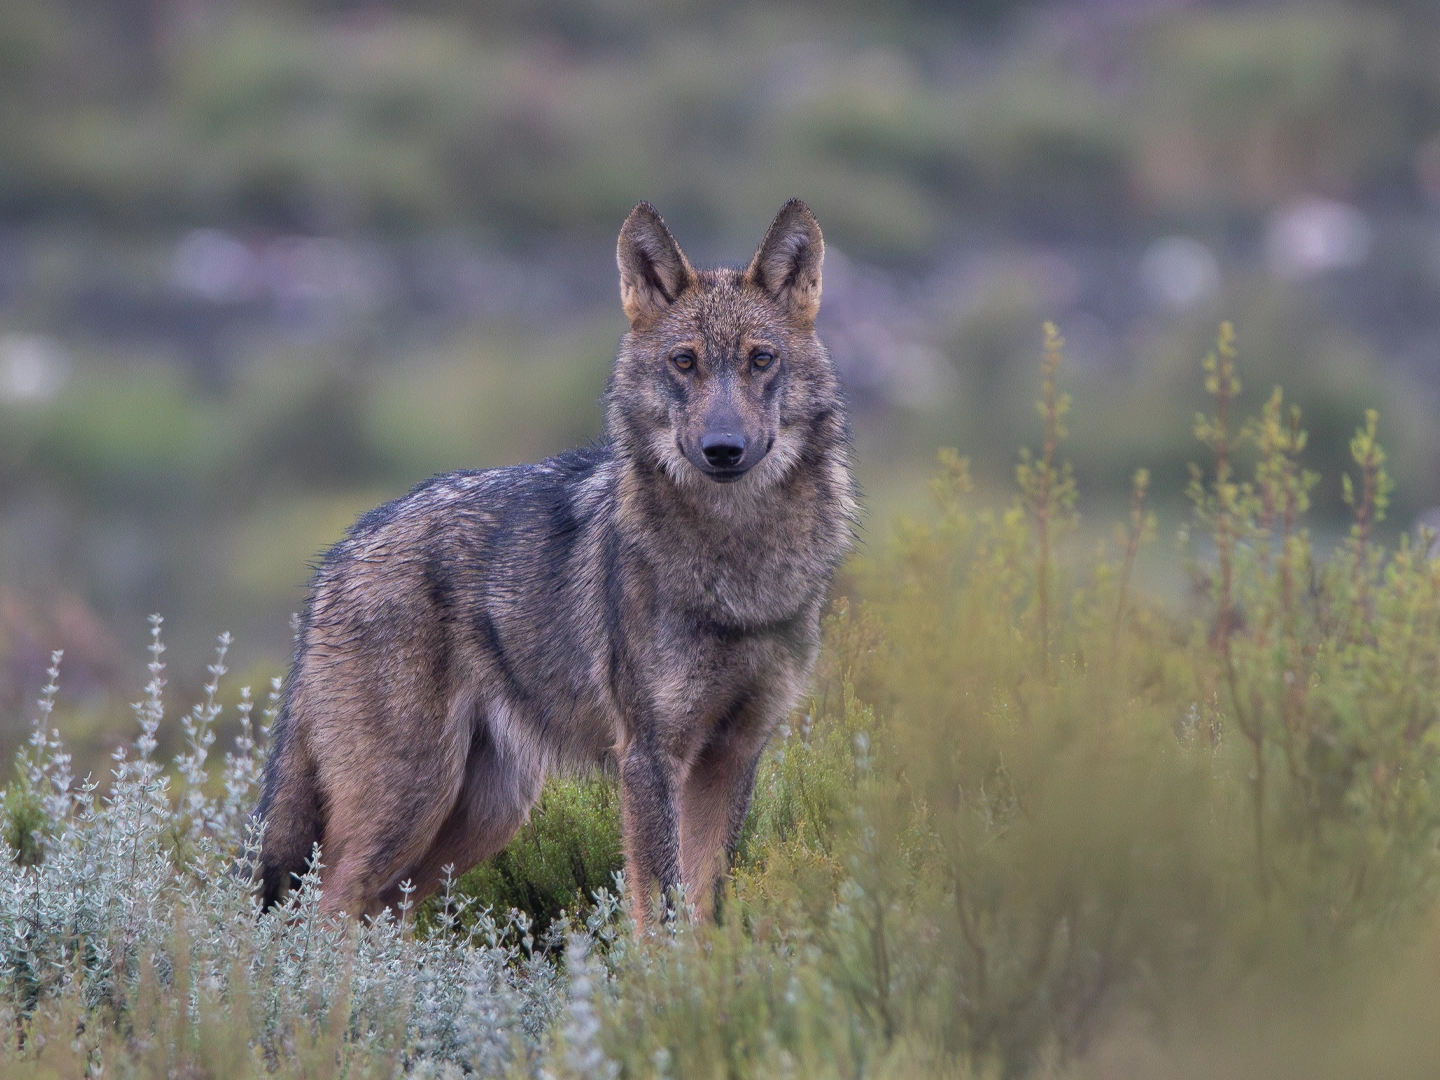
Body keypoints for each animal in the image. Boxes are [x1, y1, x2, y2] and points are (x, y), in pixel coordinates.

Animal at [254, 199, 855, 928]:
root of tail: (338, 553)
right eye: (684, 362)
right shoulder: (649, 757)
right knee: (323, 913)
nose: (723, 449)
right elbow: (660, 915)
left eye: (761, 359)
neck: (738, 563)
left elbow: (705, 915)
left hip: (479, 818)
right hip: (409, 800)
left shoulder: (734, 754)